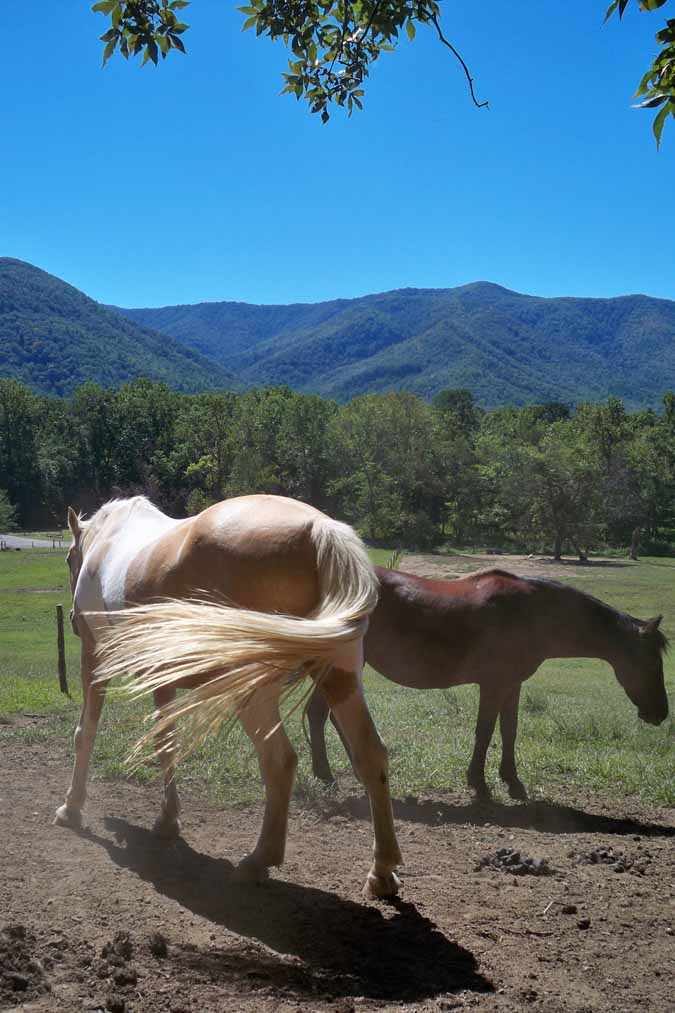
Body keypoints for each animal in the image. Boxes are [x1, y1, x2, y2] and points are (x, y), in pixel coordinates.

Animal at [55, 494, 399, 899]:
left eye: (69, 558)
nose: (72, 620)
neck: (109, 539)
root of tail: (319, 530)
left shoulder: (94, 658)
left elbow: (85, 733)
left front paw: (71, 808)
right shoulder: (162, 676)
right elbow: (166, 743)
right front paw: (167, 821)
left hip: (255, 689)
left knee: (280, 761)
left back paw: (258, 861)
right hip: (340, 678)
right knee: (370, 756)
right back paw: (381, 872)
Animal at [306, 563, 668, 798]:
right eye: (650, 661)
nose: (660, 713)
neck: (533, 612)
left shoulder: (511, 684)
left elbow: (509, 730)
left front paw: (512, 781)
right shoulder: (493, 685)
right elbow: (485, 731)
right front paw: (479, 783)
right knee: (320, 714)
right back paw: (329, 777)